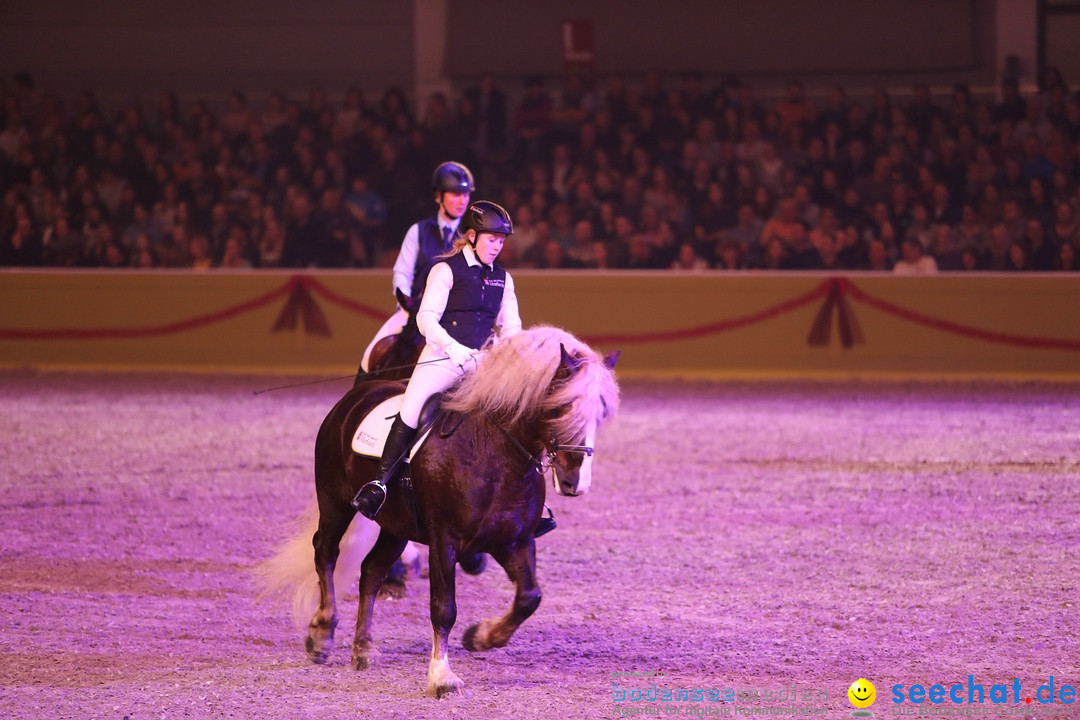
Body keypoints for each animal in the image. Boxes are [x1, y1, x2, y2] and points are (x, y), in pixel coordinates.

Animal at [259, 325, 617, 699]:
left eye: (602, 411)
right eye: (560, 407)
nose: (575, 481)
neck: (496, 456)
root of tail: (356, 396)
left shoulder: (515, 541)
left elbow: (529, 598)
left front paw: (480, 637)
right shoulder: (444, 540)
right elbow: (444, 608)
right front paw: (442, 676)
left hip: (396, 525)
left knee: (371, 570)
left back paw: (364, 648)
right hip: (335, 500)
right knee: (326, 552)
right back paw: (322, 633)